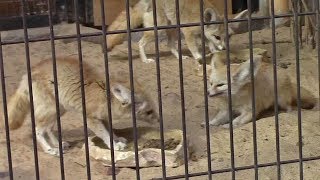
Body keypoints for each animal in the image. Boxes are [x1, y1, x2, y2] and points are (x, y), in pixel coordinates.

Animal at [6, 56, 158, 156]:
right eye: (149, 112)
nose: (159, 120)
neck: (106, 97)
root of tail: (28, 73)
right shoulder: (91, 118)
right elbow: (104, 133)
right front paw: (114, 145)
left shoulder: (104, 118)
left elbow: (110, 130)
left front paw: (116, 139)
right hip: (51, 110)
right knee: (38, 130)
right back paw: (50, 149)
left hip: (59, 110)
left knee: (48, 129)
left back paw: (58, 144)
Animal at [106, 0, 249, 63]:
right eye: (218, 37)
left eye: (229, 37)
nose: (224, 49)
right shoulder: (189, 33)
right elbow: (194, 48)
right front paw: (199, 57)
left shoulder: (203, 35)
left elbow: (210, 46)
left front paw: (214, 52)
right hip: (158, 31)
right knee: (140, 43)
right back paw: (145, 60)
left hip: (173, 30)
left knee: (170, 45)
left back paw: (179, 57)